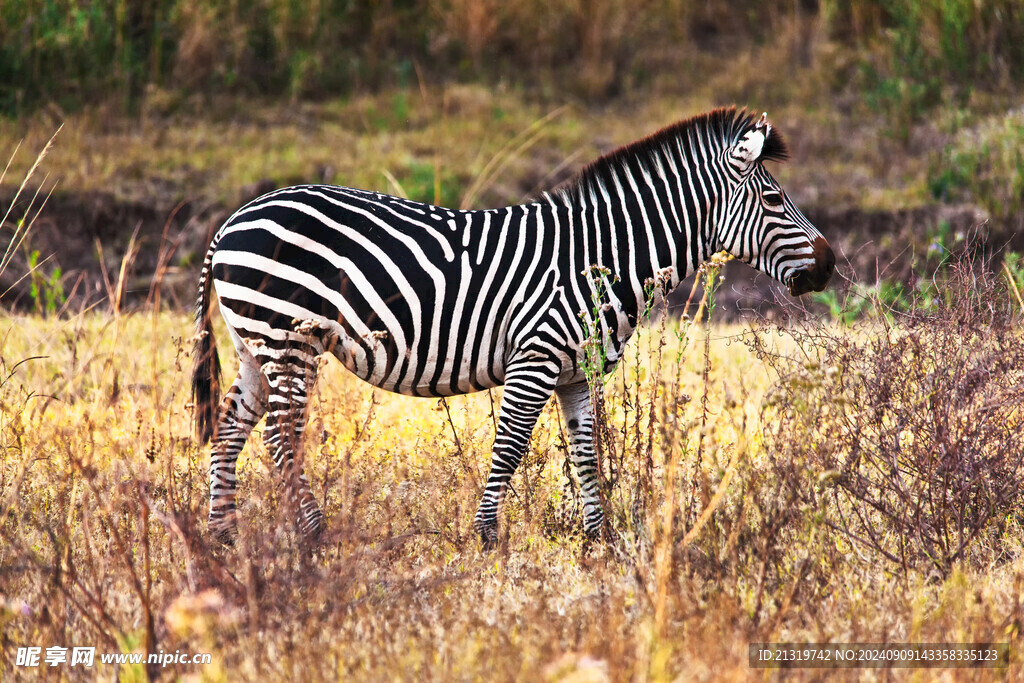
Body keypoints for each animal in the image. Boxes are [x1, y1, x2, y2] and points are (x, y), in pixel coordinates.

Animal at [190, 109, 831, 552]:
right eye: (773, 199)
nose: (828, 266)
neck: (601, 258)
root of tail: (231, 221)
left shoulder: (576, 371)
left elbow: (586, 454)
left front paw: (597, 540)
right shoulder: (535, 356)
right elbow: (510, 448)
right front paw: (486, 537)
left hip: (254, 344)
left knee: (230, 428)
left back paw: (222, 537)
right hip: (285, 338)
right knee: (281, 439)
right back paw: (314, 537)